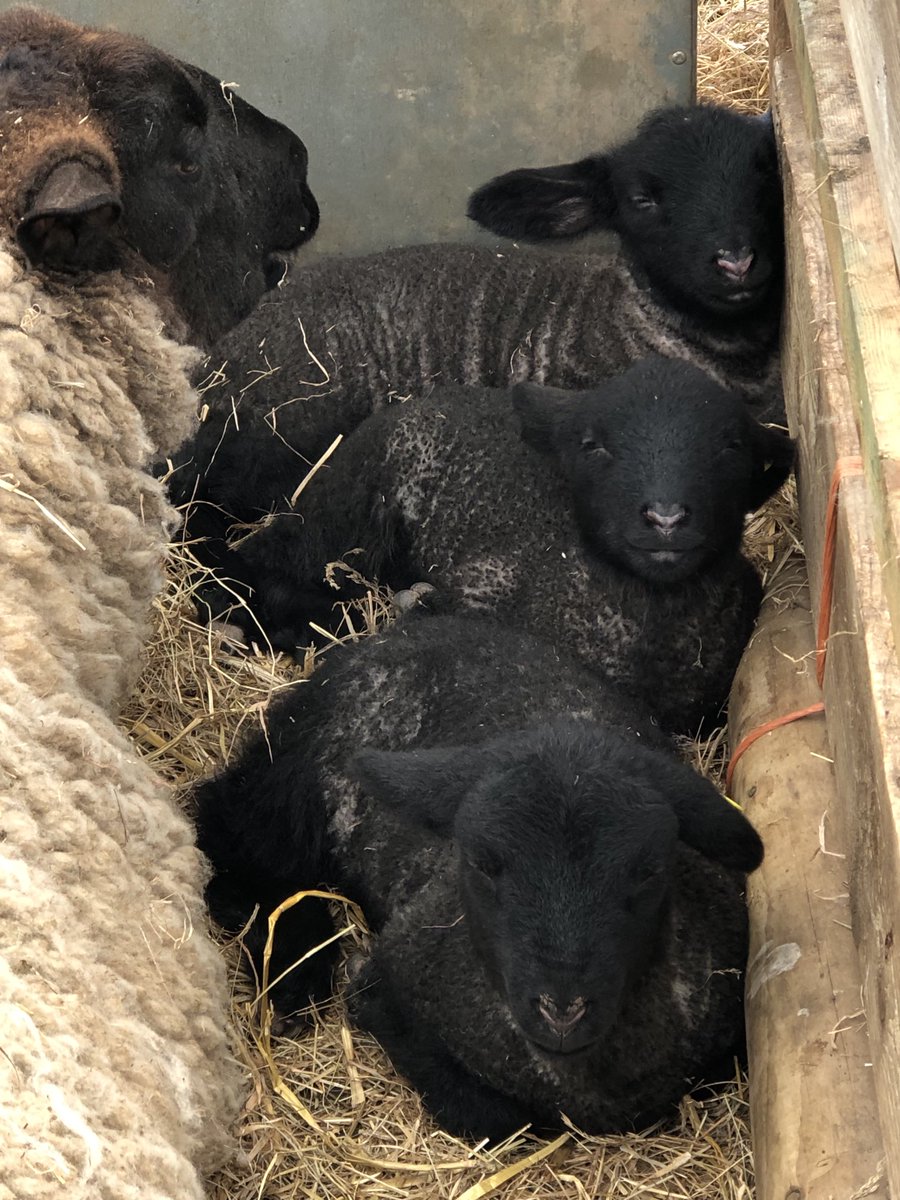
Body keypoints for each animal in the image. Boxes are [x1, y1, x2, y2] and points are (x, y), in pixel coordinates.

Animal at [195, 619, 763, 1142]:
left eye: (649, 871)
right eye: (483, 864)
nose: (562, 1010)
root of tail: (394, 634)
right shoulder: (389, 990)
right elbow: (498, 1119)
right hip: (291, 780)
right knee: (234, 839)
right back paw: (295, 974)